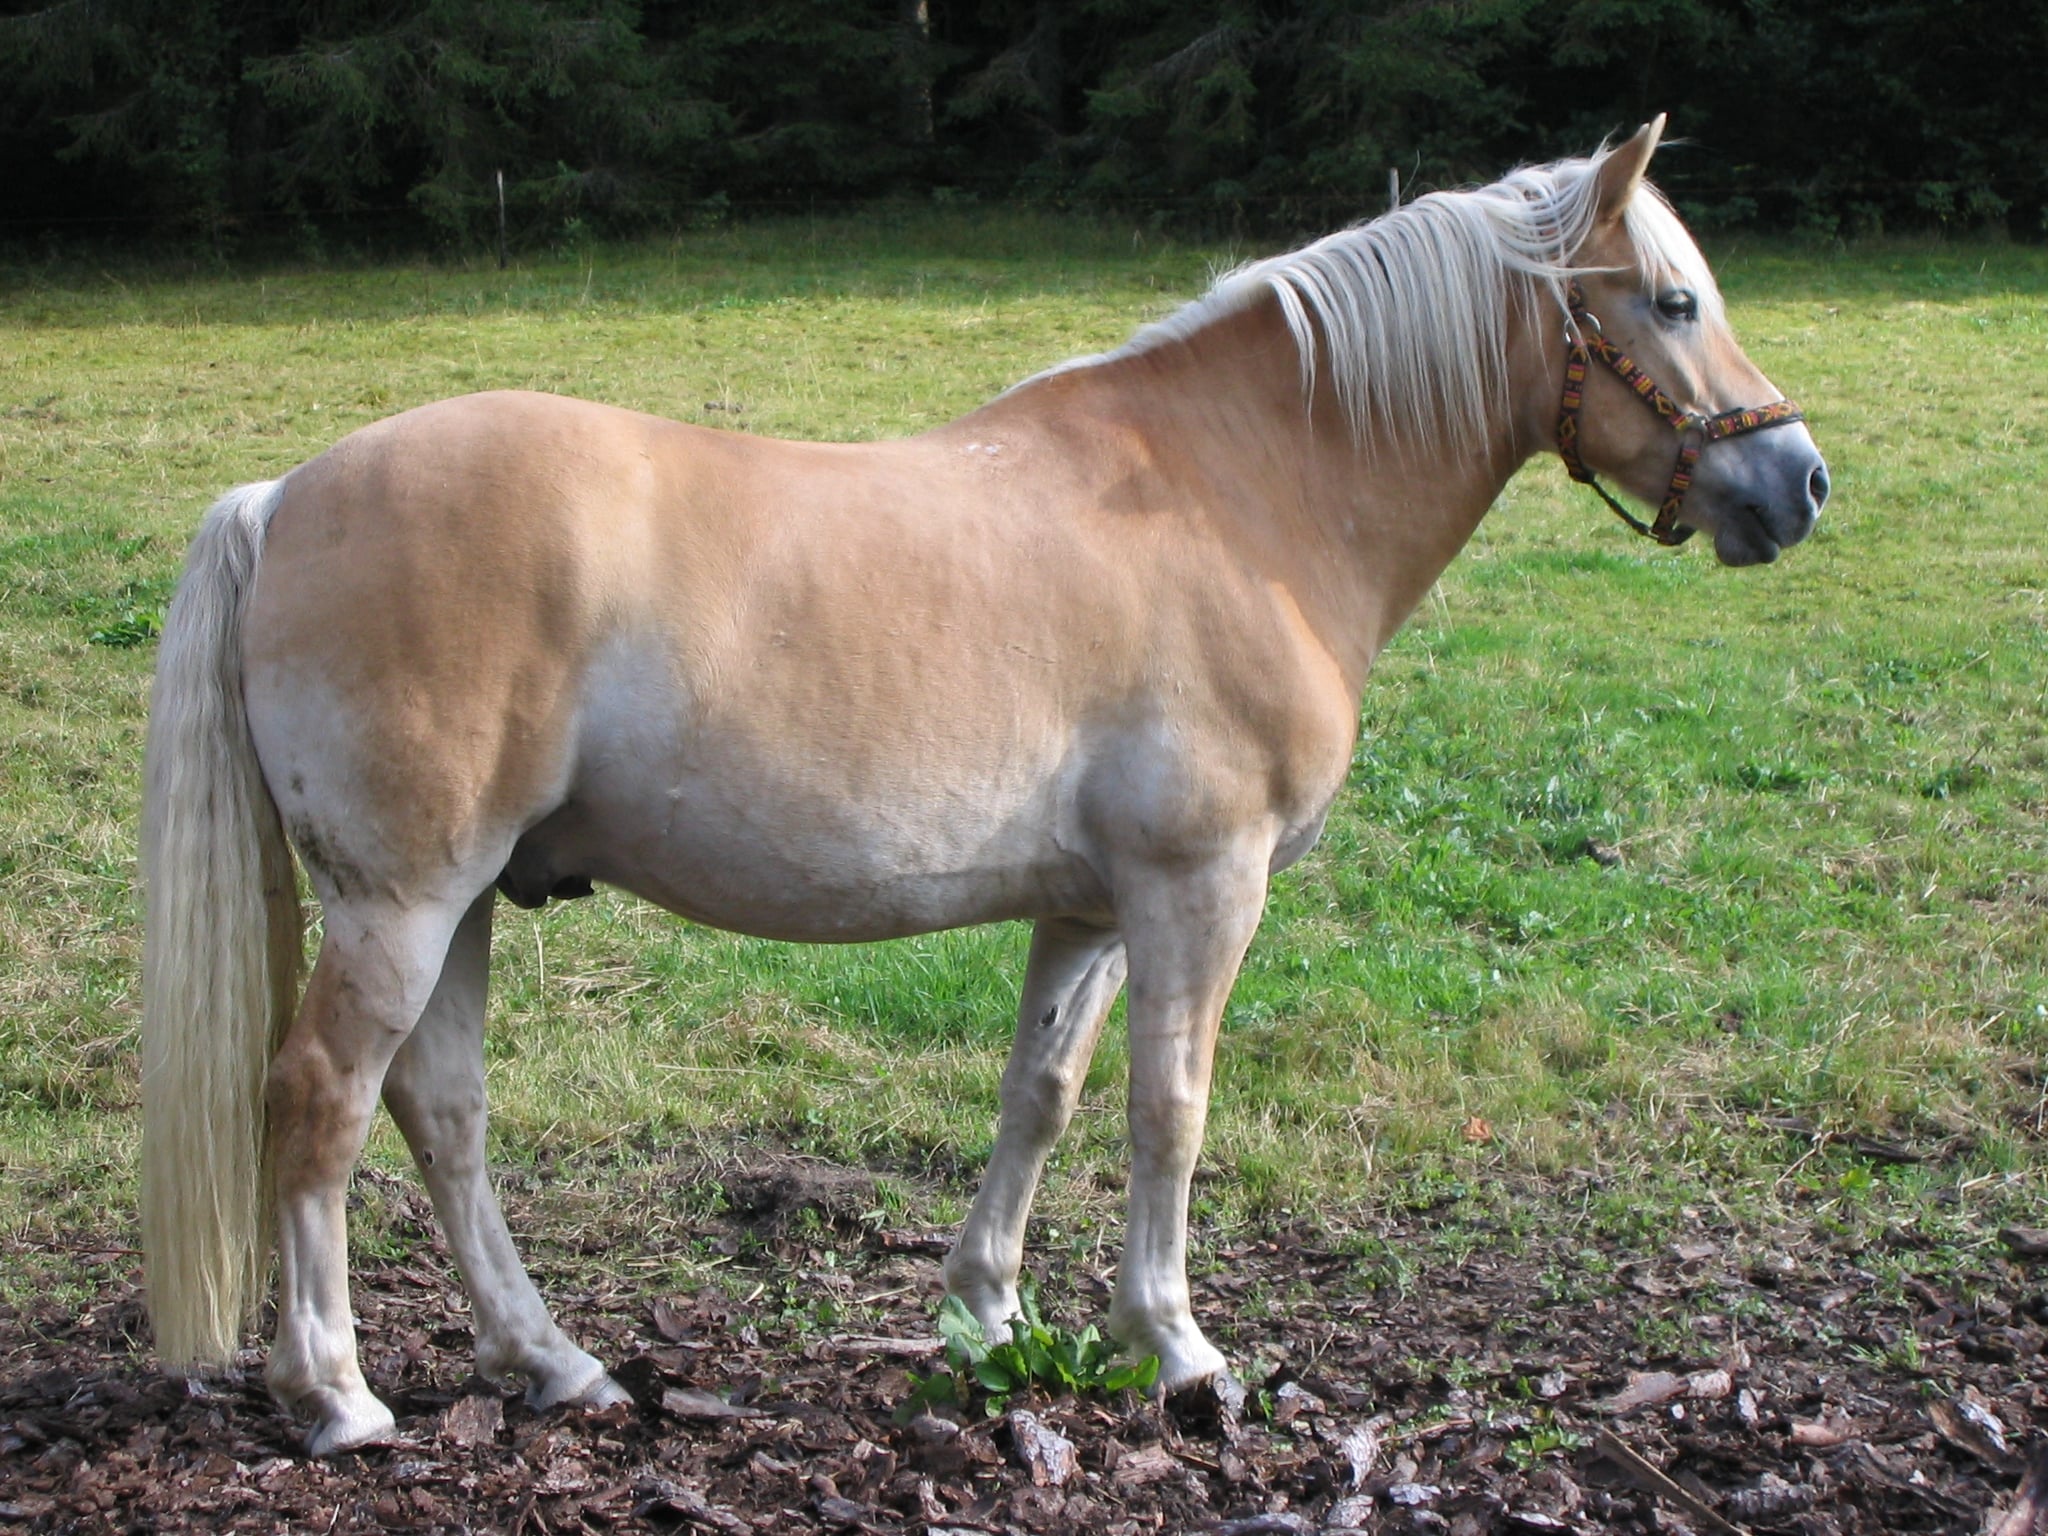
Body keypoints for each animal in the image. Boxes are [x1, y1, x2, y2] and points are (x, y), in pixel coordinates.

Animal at [139, 117, 1827, 1454]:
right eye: (1673, 299)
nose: (1799, 483)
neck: (1242, 498)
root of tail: (282, 498)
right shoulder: (1201, 887)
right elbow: (1169, 1108)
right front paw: (1176, 1346)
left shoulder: (1090, 909)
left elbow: (1043, 1094)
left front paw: (985, 1317)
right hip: (405, 898)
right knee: (320, 1103)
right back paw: (338, 1397)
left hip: (472, 897)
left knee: (443, 1111)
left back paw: (556, 1365)